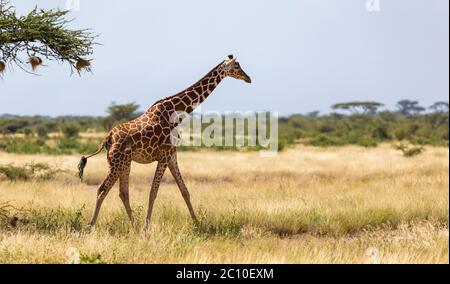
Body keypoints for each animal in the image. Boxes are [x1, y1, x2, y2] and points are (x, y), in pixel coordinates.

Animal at [78, 55, 251, 231]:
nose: (248, 78)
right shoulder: (164, 155)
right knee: (102, 189)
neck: (176, 114)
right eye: (237, 66)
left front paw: (197, 224)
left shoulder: (172, 155)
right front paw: (147, 227)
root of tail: (108, 138)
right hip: (117, 162)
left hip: (124, 162)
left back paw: (134, 227)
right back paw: (91, 226)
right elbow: (153, 192)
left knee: (123, 192)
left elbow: (184, 190)